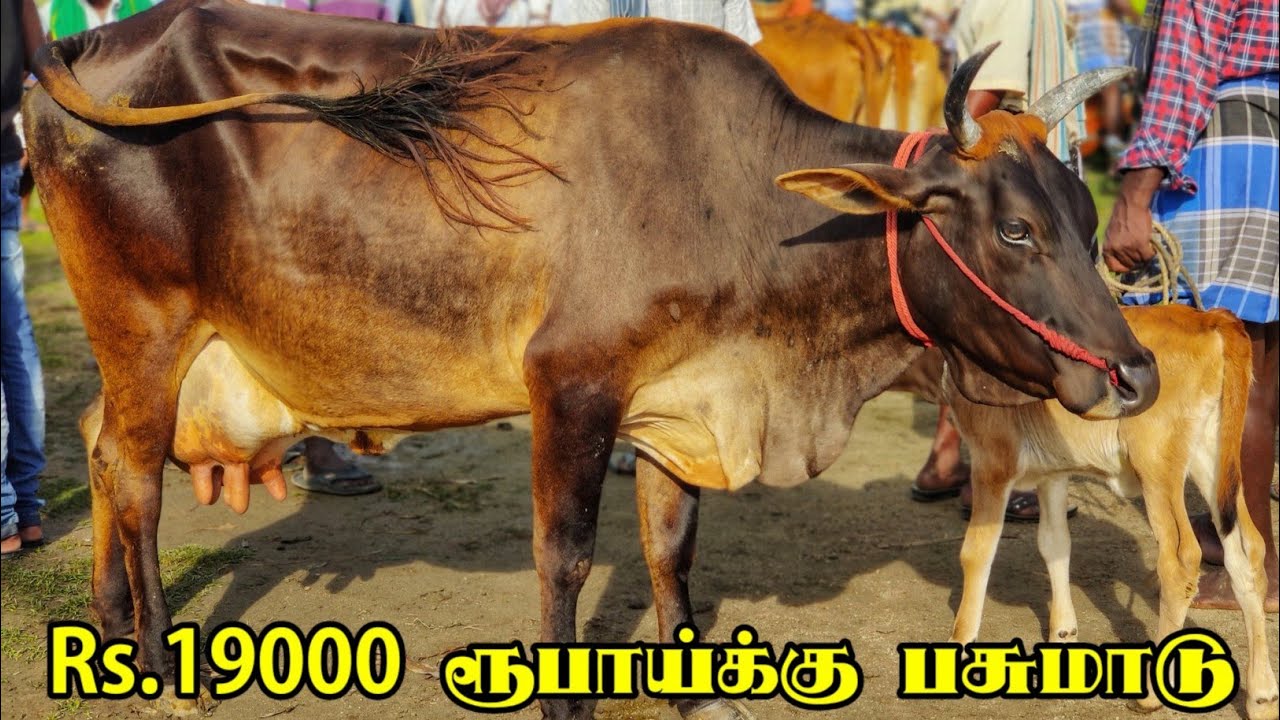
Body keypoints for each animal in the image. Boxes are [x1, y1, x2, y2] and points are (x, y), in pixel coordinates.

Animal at [24, 2, 1156, 717]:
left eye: (1086, 217)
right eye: (1013, 230)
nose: (1135, 373)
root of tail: (86, 48)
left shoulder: (677, 400)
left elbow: (671, 549)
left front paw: (688, 687)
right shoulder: (570, 386)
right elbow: (563, 558)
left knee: (94, 443)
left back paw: (105, 628)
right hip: (146, 327)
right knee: (130, 475)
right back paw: (159, 664)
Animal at [927, 305, 1277, 720]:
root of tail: (1208, 317)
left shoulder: (991, 462)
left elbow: (976, 552)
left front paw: (959, 640)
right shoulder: (1053, 472)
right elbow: (1055, 544)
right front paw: (1063, 632)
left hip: (1156, 463)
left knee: (1180, 559)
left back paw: (1151, 695)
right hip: (1213, 458)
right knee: (1246, 553)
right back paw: (1262, 695)